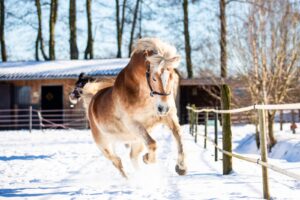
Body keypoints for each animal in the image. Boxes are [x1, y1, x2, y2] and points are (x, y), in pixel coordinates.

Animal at [70, 38, 188, 178]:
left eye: (171, 76)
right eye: (154, 78)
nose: (163, 108)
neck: (146, 98)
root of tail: (93, 99)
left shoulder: (169, 117)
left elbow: (178, 136)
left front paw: (181, 168)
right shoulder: (133, 124)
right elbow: (153, 144)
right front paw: (148, 159)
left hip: (135, 141)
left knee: (132, 157)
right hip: (104, 145)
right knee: (117, 161)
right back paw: (130, 180)